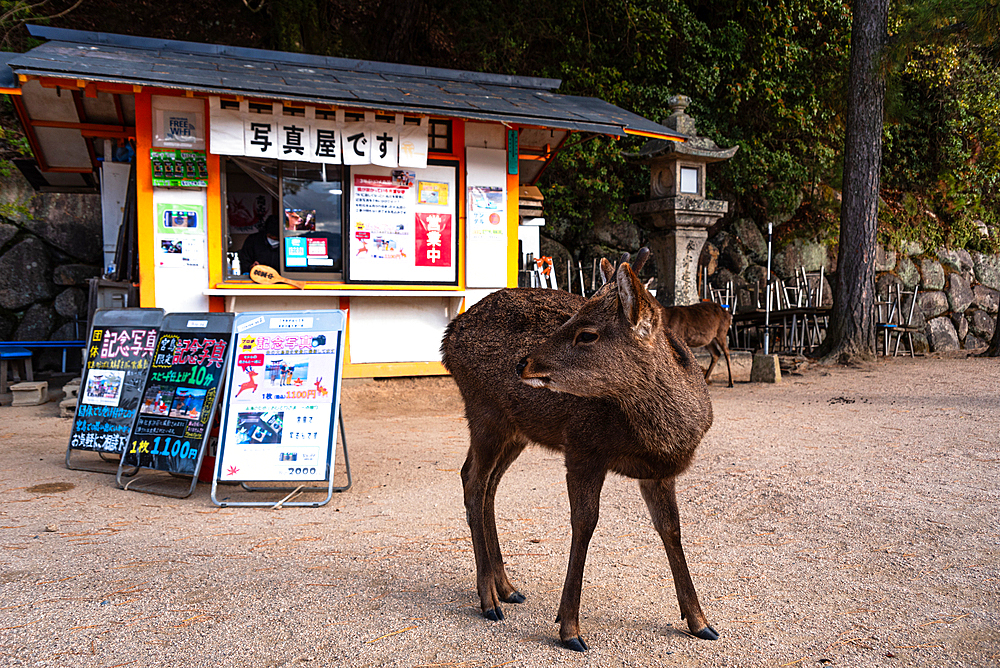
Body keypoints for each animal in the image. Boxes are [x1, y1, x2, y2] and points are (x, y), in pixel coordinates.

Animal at [444, 248, 720, 648]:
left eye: (587, 334)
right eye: (573, 315)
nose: (522, 362)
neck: (662, 437)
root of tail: (447, 338)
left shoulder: (659, 471)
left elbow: (672, 529)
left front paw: (700, 621)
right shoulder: (582, 448)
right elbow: (584, 523)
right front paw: (569, 628)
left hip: (517, 430)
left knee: (489, 485)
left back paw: (507, 587)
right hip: (484, 412)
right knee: (472, 479)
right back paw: (488, 599)